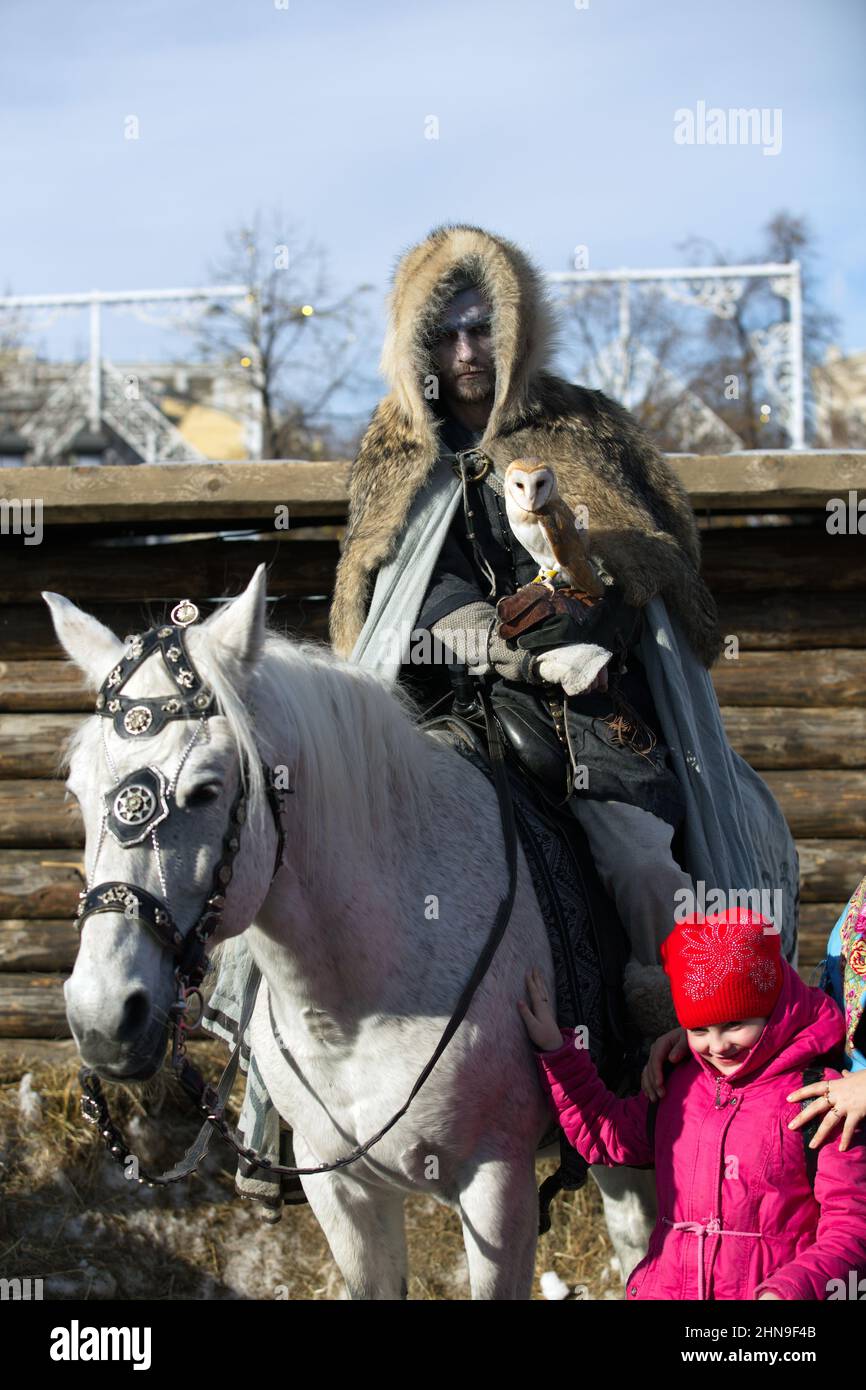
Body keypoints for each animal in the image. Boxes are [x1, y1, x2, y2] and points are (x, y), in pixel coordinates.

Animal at [38, 564, 650, 1301]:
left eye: (207, 790)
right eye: (76, 791)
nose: (104, 1019)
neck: (359, 1005)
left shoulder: (497, 1185)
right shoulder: (343, 1193)